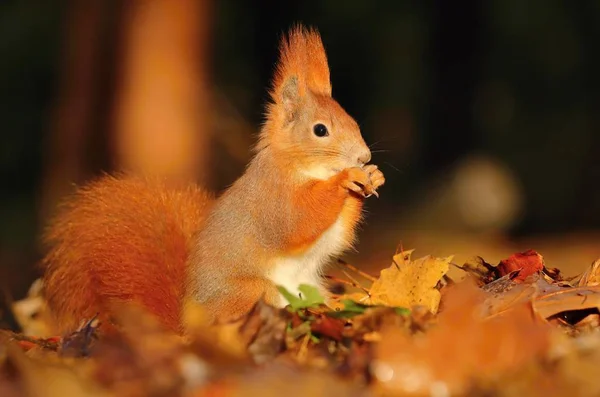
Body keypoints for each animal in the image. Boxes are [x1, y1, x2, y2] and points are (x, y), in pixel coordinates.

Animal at [43, 25, 390, 334]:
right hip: (253, 293)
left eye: (352, 121)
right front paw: (347, 178)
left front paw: (373, 177)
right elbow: (299, 223)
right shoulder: (273, 201)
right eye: (320, 130)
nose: (363, 157)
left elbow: (337, 235)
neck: (302, 168)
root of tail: (186, 326)